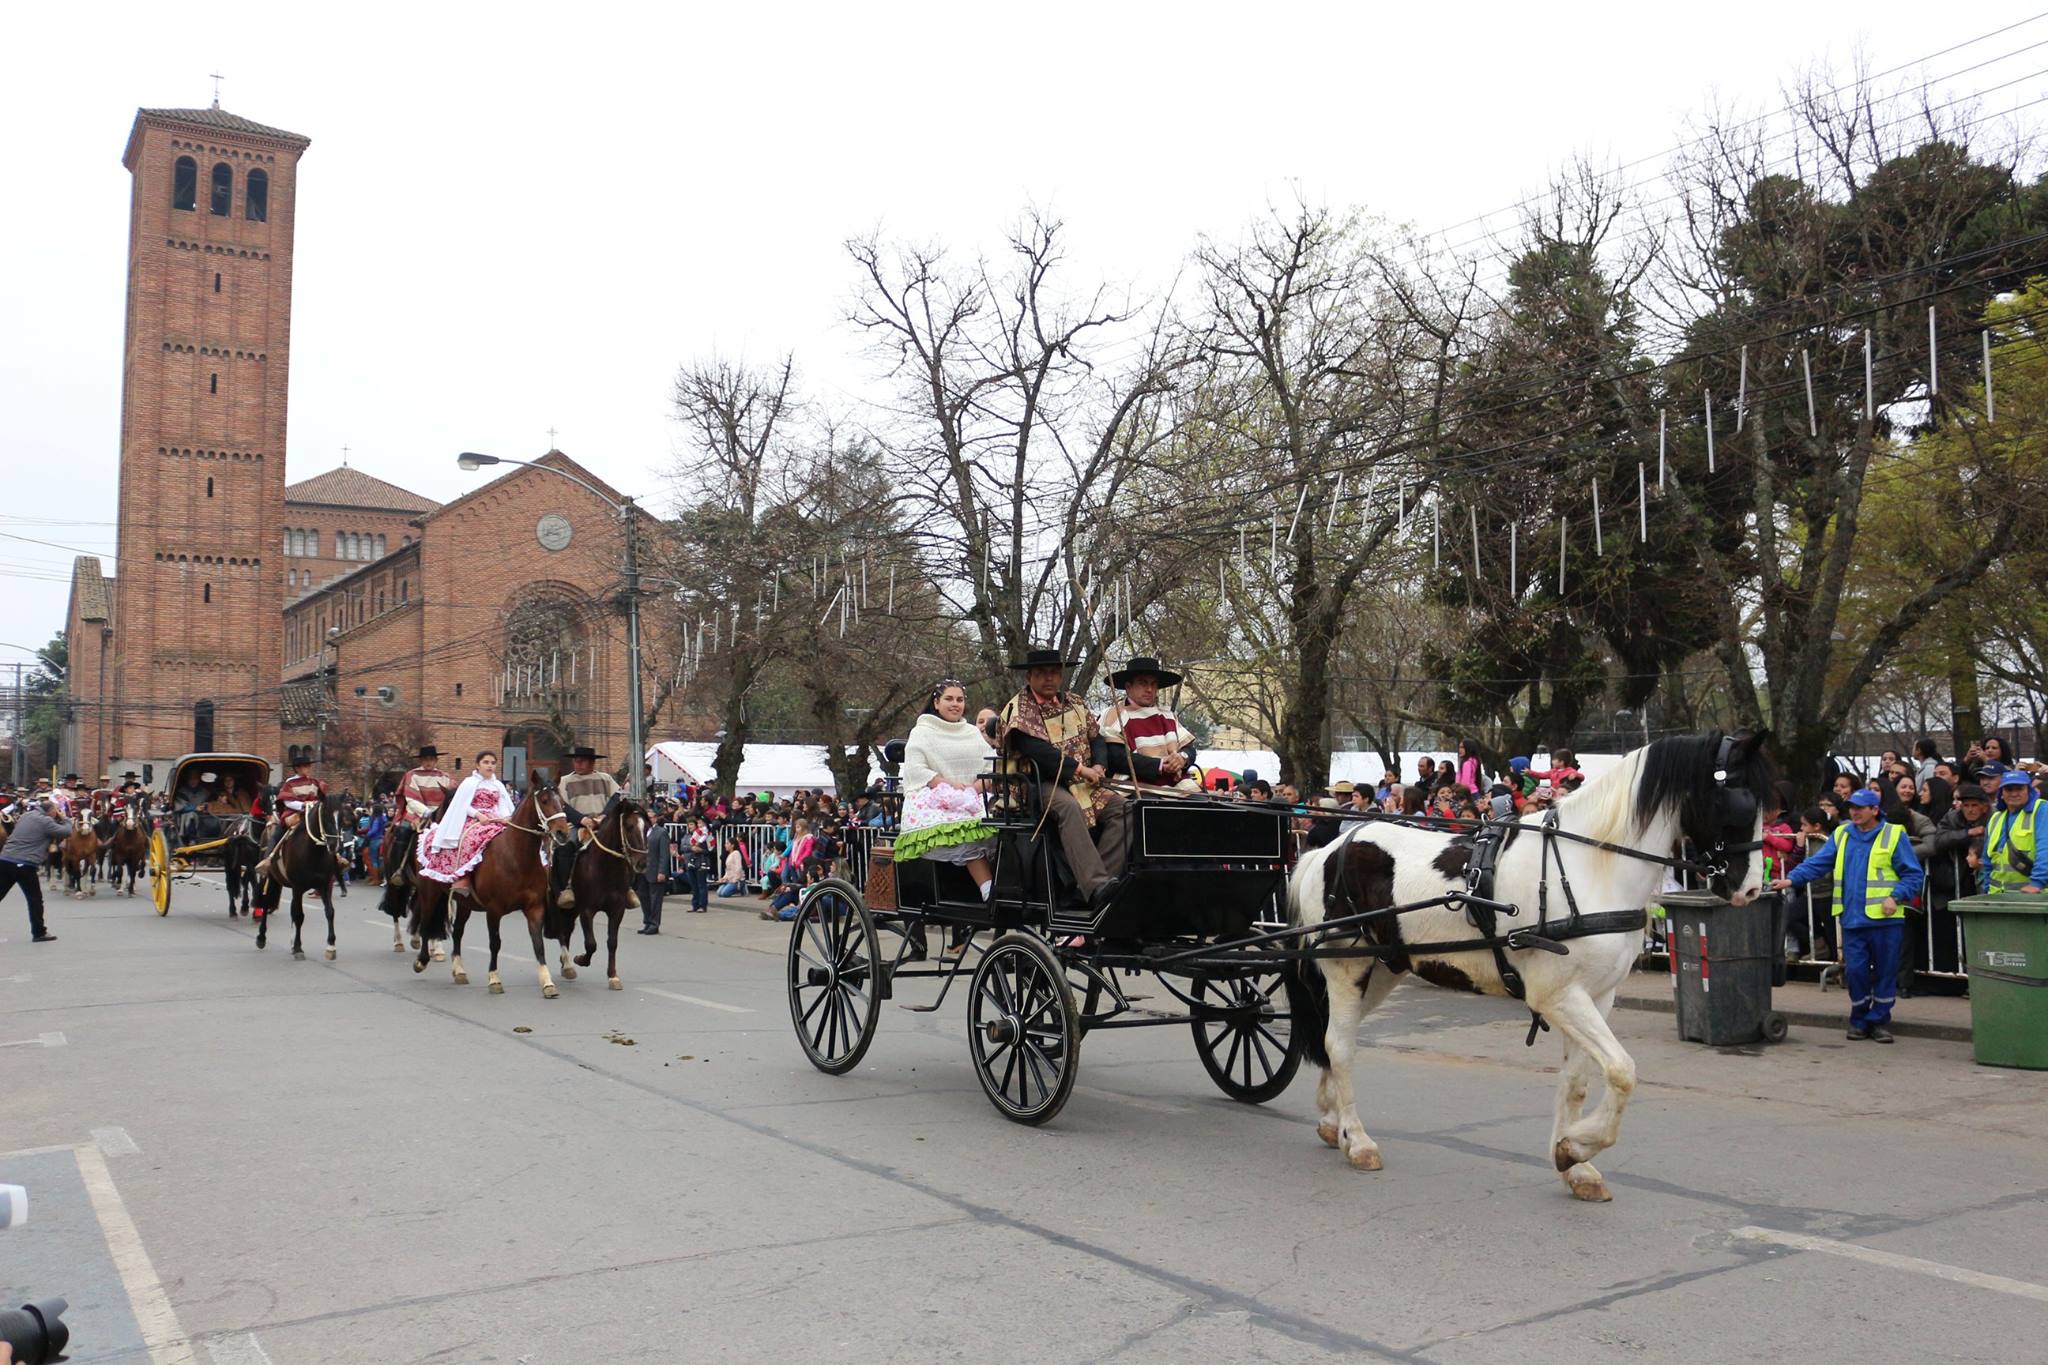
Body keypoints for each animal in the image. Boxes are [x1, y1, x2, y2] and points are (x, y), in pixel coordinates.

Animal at [253, 794, 345, 959]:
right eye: (325, 815)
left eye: (342, 816)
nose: (335, 846)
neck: (313, 852)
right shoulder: (298, 887)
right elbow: (299, 915)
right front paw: (298, 948)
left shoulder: (323, 885)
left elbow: (330, 912)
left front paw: (331, 947)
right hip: (269, 878)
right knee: (266, 903)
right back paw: (261, 937)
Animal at [410, 782, 574, 996]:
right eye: (545, 800)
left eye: (562, 801)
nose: (563, 832)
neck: (516, 857)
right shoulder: (494, 910)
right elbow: (495, 943)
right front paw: (495, 979)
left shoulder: (534, 907)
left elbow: (538, 944)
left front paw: (547, 983)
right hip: (430, 892)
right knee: (426, 923)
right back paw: (421, 962)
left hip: (465, 903)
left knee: (457, 932)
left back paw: (459, 970)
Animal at [556, 797, 649, 992]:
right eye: (629, 826)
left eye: (646, 827)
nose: (642, 863)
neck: (605, 868)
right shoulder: (586, 910)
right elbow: (591, 944)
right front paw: (580, 959)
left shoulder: (617, 909)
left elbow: (612, 942)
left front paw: (613, 976)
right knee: (562, 929)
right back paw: (568, 965)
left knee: (567, 929)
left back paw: (565, 964)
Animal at [1288, 731, 1773, 1203]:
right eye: (1738, 799)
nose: (1751, 890)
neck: (1588, 868)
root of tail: (1327, 850)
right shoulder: (1559, 996)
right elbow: (1622, 1071)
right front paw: (1579, 1145)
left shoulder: (1598, 996)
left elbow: (1577, 1081)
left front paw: (1574, 1164)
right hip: (1348, 968)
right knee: (1339, 1046)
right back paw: (1358, 1140)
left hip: (1383, 969)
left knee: (1339, 1038)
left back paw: (1333, 1122)